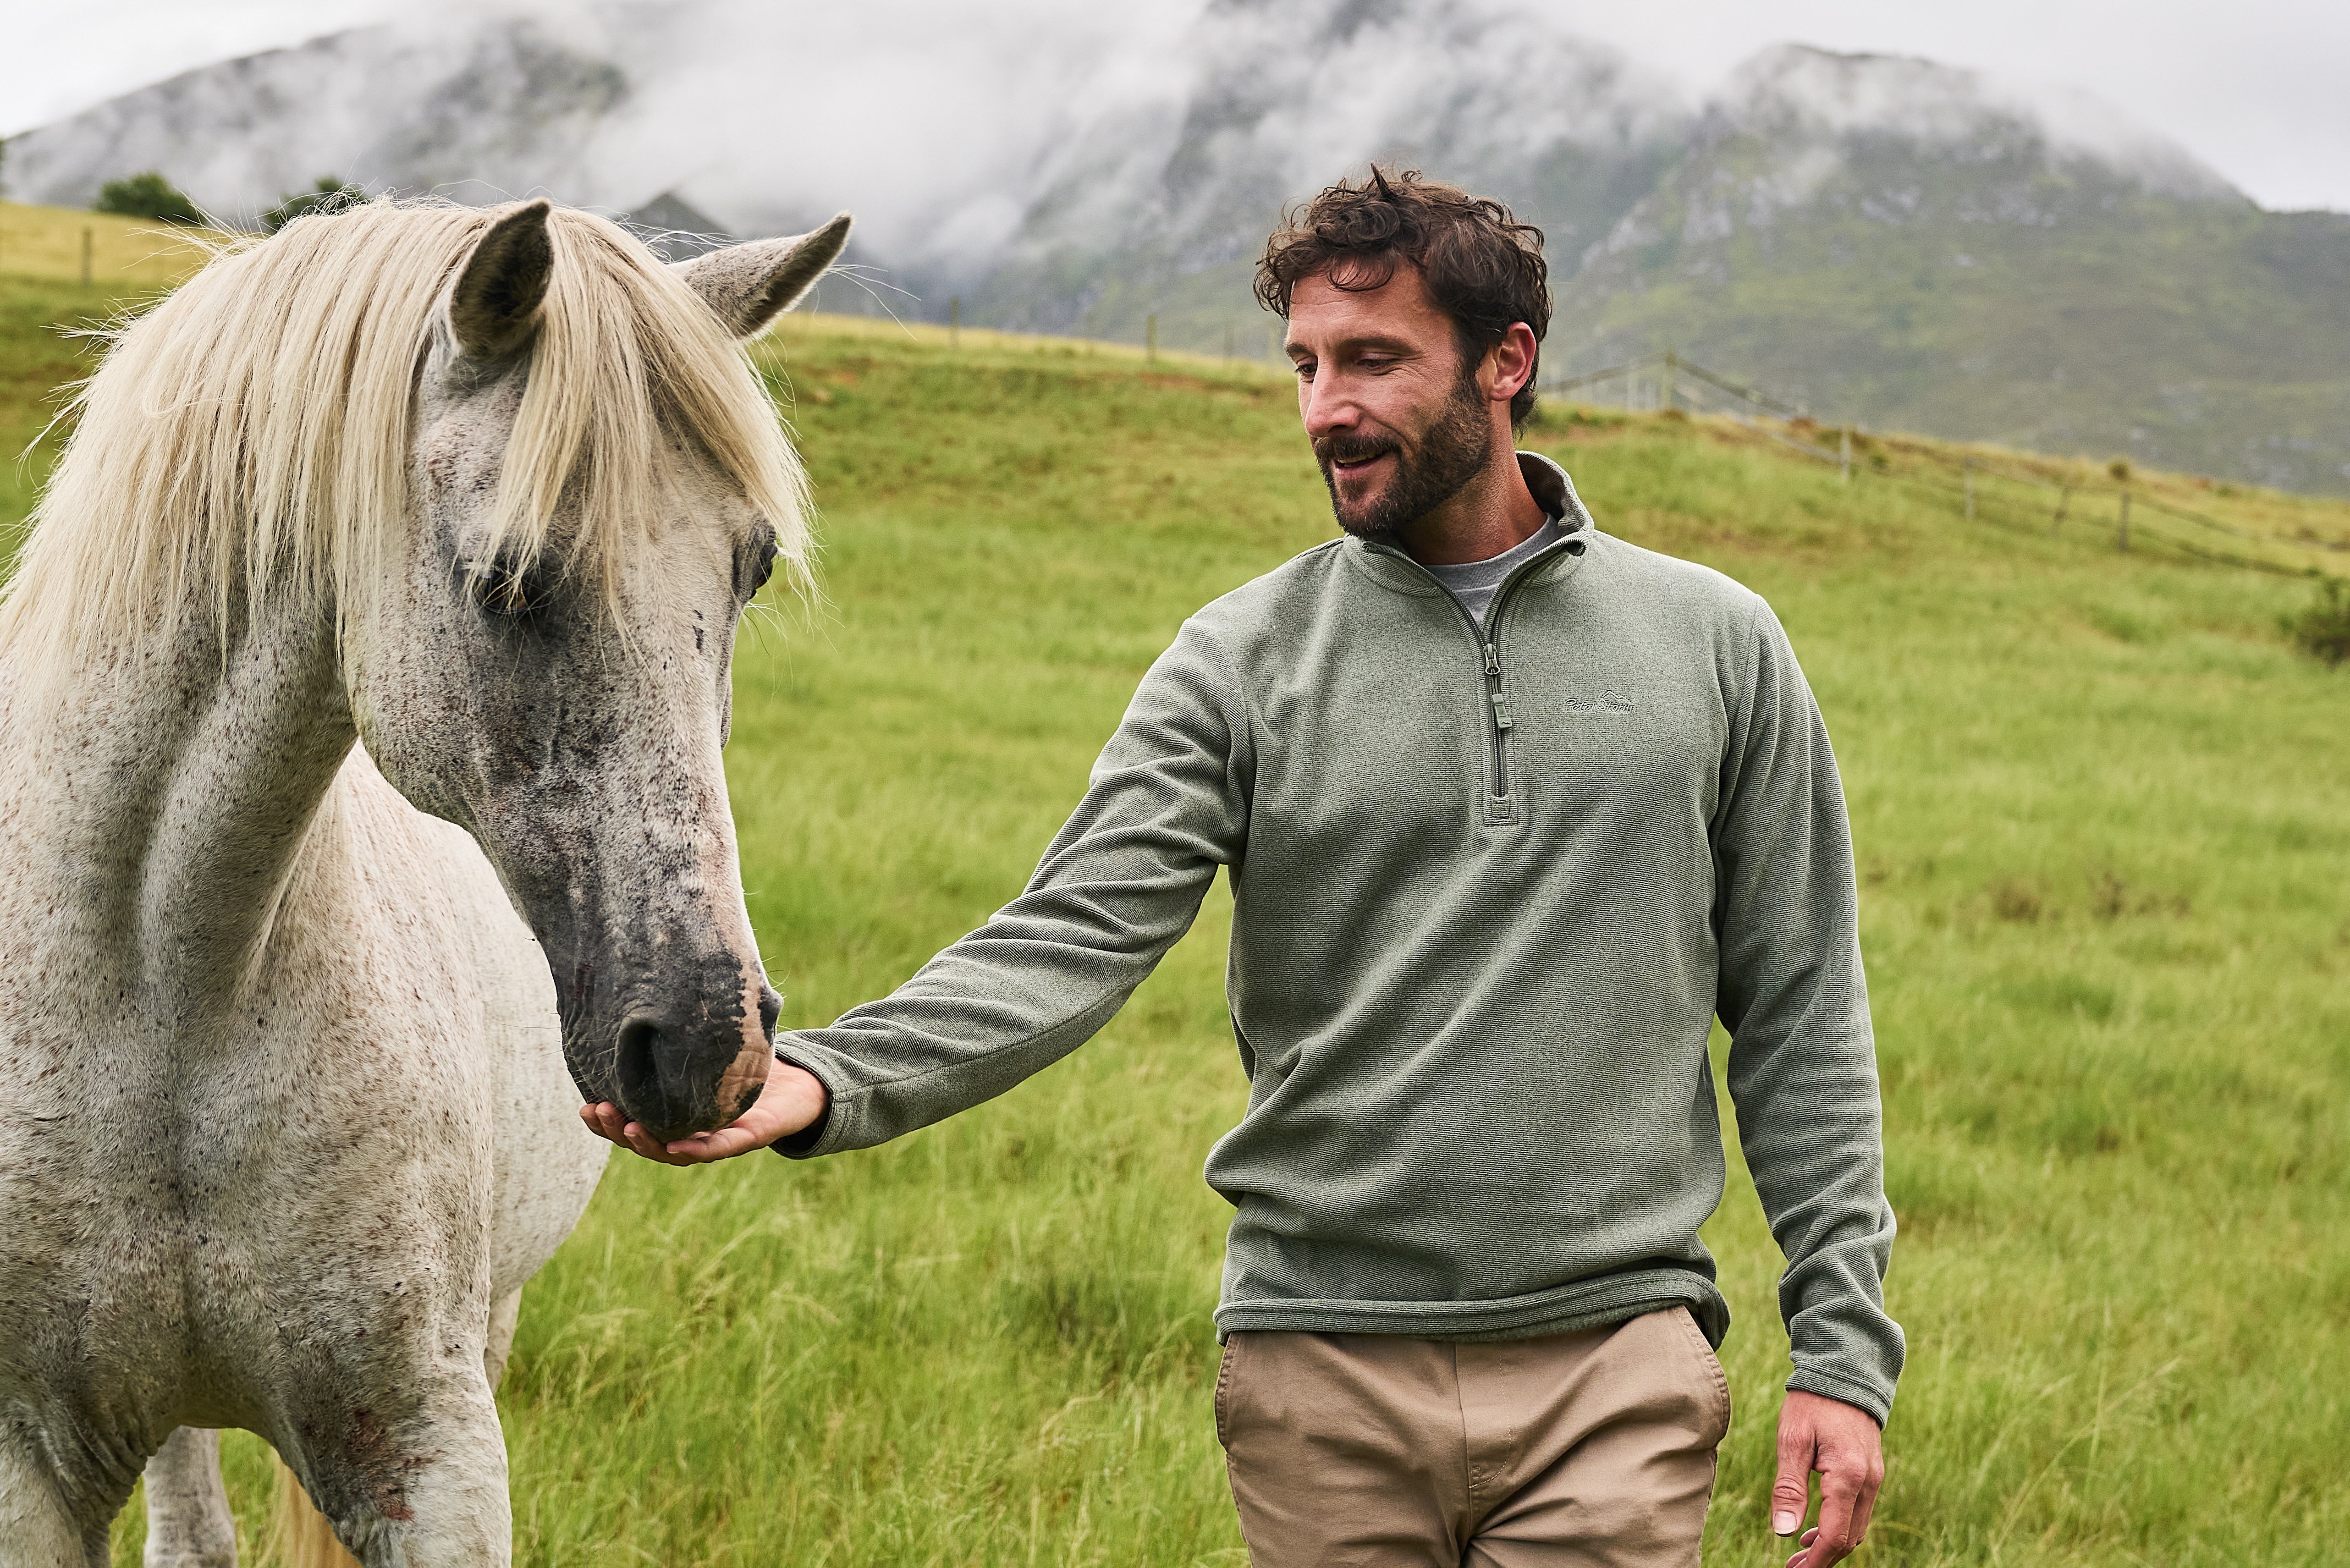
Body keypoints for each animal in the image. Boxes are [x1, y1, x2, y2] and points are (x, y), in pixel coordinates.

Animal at [0, 196, 849, 1567]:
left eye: (753, 567)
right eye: (508, 579)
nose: (706, 1045)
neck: (164, 989)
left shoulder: (426, 1447)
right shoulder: (27, 1463)